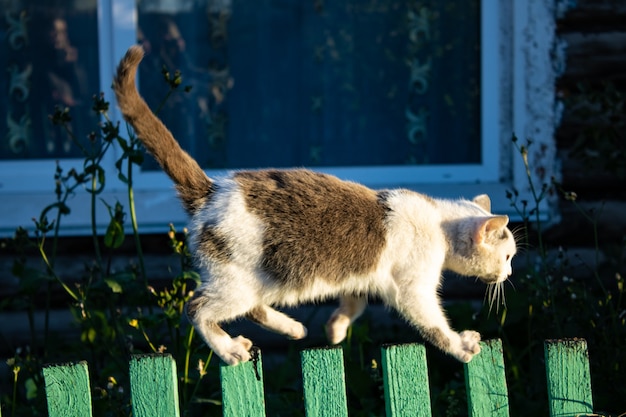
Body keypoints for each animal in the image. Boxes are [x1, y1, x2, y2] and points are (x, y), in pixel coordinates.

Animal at [113, 45, 516, 364]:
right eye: (509, 255)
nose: (509, 274)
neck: (438, 221)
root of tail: (211, 189)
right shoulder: (412, 289)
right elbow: (433, 325)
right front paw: (461, 346)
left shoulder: (362, 276)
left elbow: (355, 303)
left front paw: (336, 329)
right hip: (235, 282)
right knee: (197, 308)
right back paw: (229, 349)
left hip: (257, 281)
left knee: (252, 308)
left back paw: (291, 328)